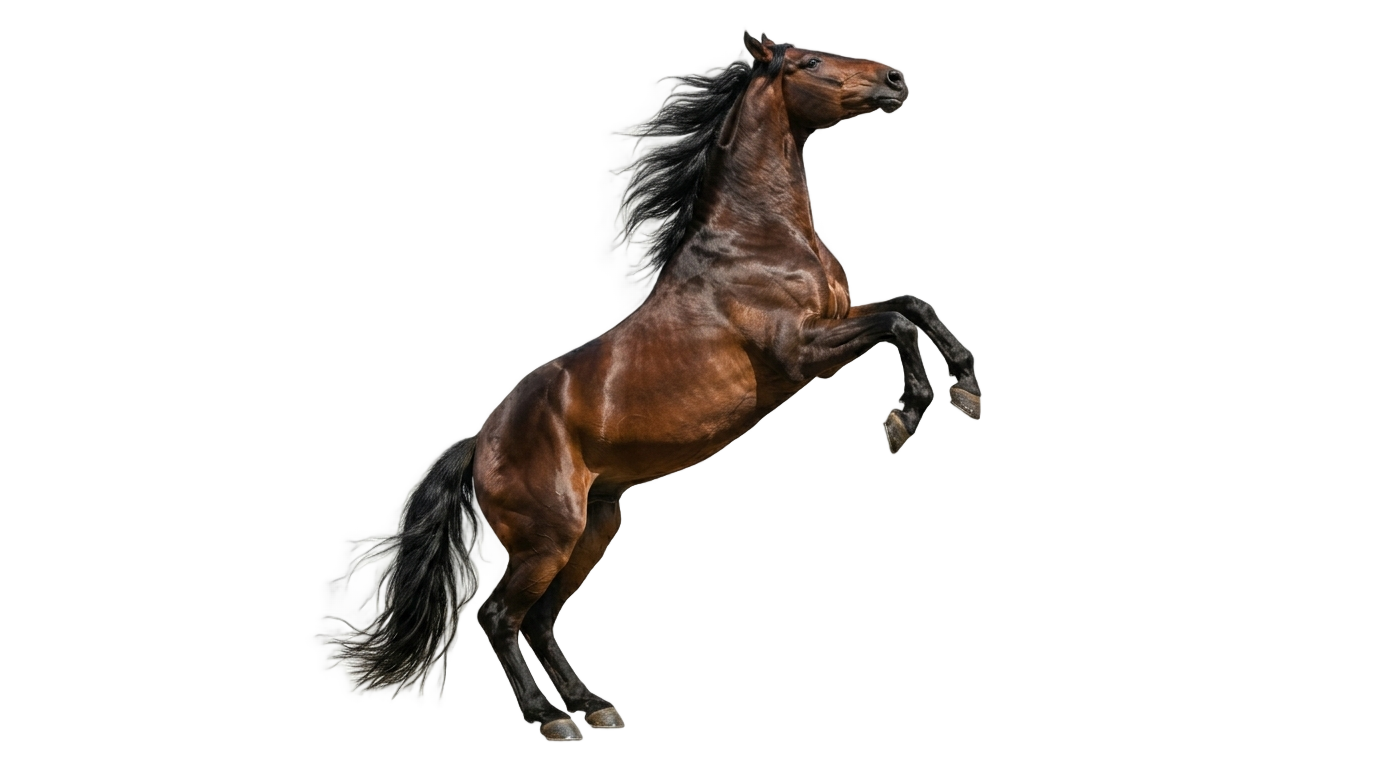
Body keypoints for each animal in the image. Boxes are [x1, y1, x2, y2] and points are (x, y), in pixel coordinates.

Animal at [341, 31, 982, 740]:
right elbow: (895, 323)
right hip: (547, 537)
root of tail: (481, 441)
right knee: (497, 618)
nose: (895, 79)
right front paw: (912, 416)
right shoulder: (800, 351)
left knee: (539, 621)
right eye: (810, 62)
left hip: (594, 527)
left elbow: (910, 304)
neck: (756, 240)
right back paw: (550, 720)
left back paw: (594, 707)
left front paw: (963, 384)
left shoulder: (836, 324)